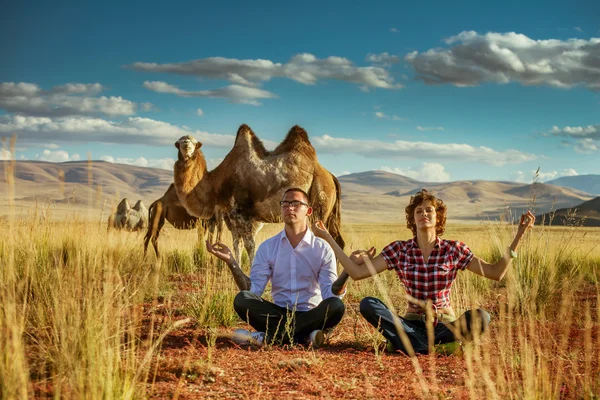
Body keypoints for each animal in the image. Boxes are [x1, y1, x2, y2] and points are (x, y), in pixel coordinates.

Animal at [171, 123, 344, 264]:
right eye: (179, 142)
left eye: (195, 143)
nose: (186, 145)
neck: (218, 183)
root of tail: (330, 177)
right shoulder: (230, 216)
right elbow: (237, 245)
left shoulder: (243, 213)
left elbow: (250, 246)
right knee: (337, 240)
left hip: (319, 202)